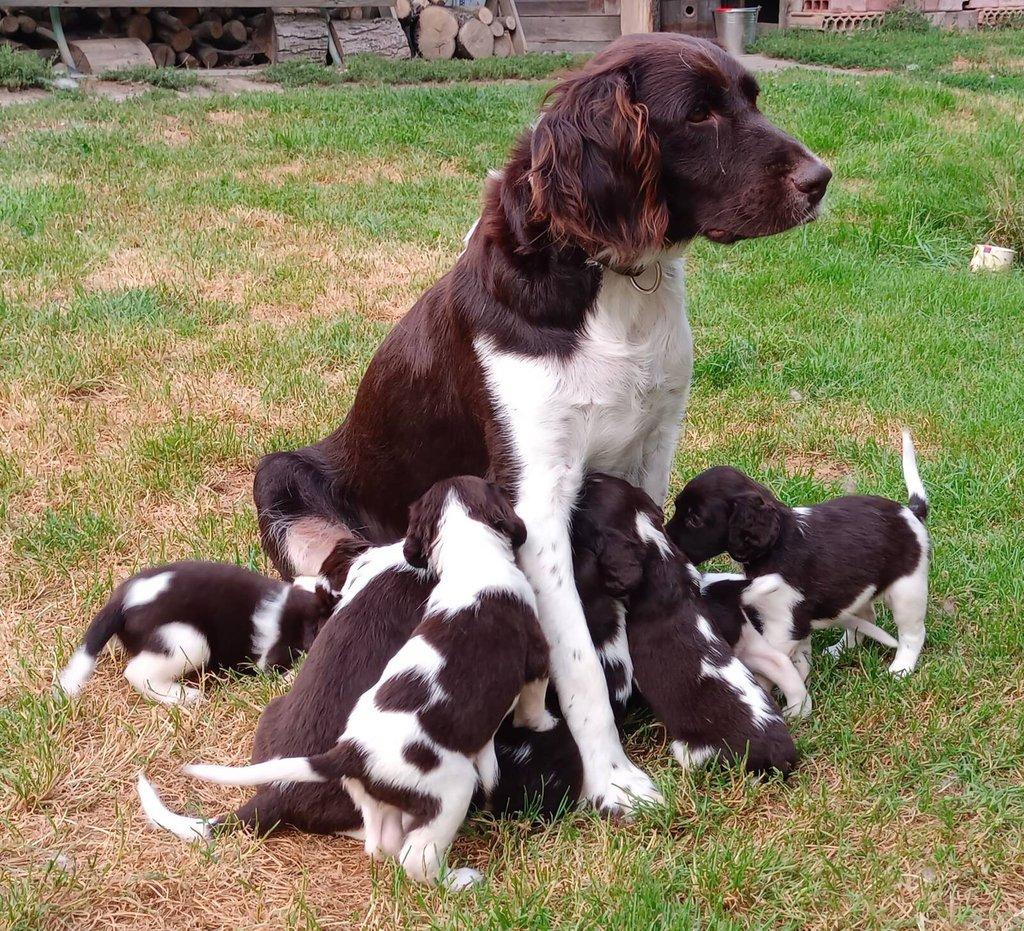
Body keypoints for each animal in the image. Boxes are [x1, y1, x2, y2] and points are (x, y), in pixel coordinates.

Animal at [180, 479, 557, 884]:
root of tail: (277, 793)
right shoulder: (535, 652)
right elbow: (534, 696)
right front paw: (544, 723)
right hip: (449, 791)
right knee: (413, 851)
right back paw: (458, 878)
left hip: (279, 719)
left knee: (379, 841)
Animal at [253, 34, 831, 815]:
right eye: (700, 115)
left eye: (752, 97)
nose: (821, 179)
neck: (615, 288)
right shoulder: (535, 497)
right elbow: (578, 660)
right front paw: (612, 776)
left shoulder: (651, 452)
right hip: (281, 475)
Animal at [667, 426, 933, 675]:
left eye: (694, 519)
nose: (666, 538)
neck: (777, 544)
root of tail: (910, 512)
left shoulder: (784, 623)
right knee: (866, 618)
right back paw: (840, 650)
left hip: (907, 591)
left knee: (914, 633)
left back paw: (901, 668)